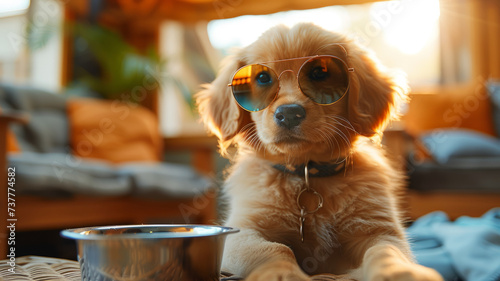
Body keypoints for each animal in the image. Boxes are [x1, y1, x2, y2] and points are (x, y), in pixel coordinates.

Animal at [195, 23, 442, 280]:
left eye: (319, 73)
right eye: (262, 78)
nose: (289, 113)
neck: (307, 174)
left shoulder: (380, 230)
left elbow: (385, 251)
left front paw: (400, 272)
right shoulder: (244, 231)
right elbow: (275, 249)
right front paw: (284, 274)